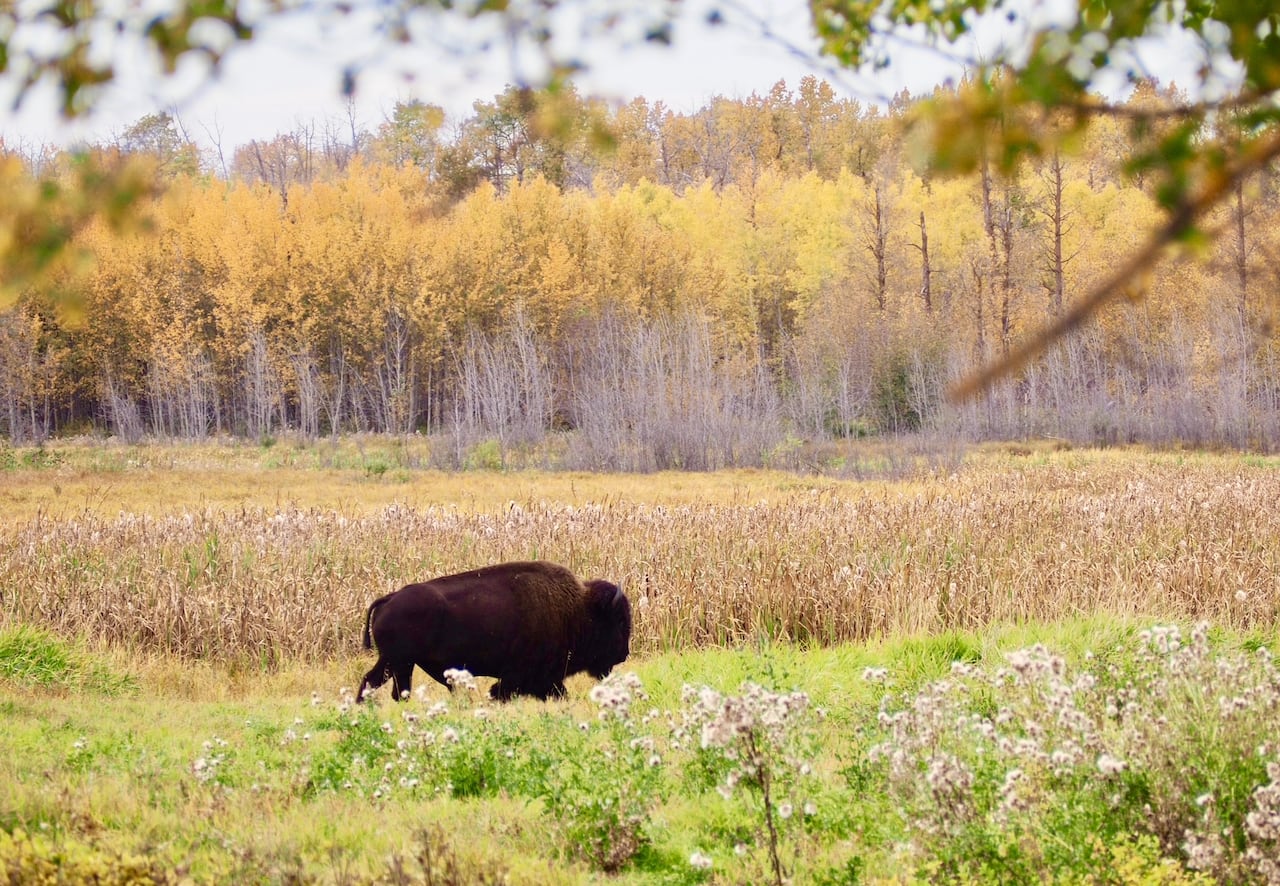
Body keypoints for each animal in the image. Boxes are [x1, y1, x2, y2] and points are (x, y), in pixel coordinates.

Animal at [357, 560, 631, 702]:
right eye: (618, 622)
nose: (624, 654)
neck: (578, 610)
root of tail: (390, 598)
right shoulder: (524, 675)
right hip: (400, 663)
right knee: (394, 689)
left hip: (395, 662)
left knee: (374, 681)